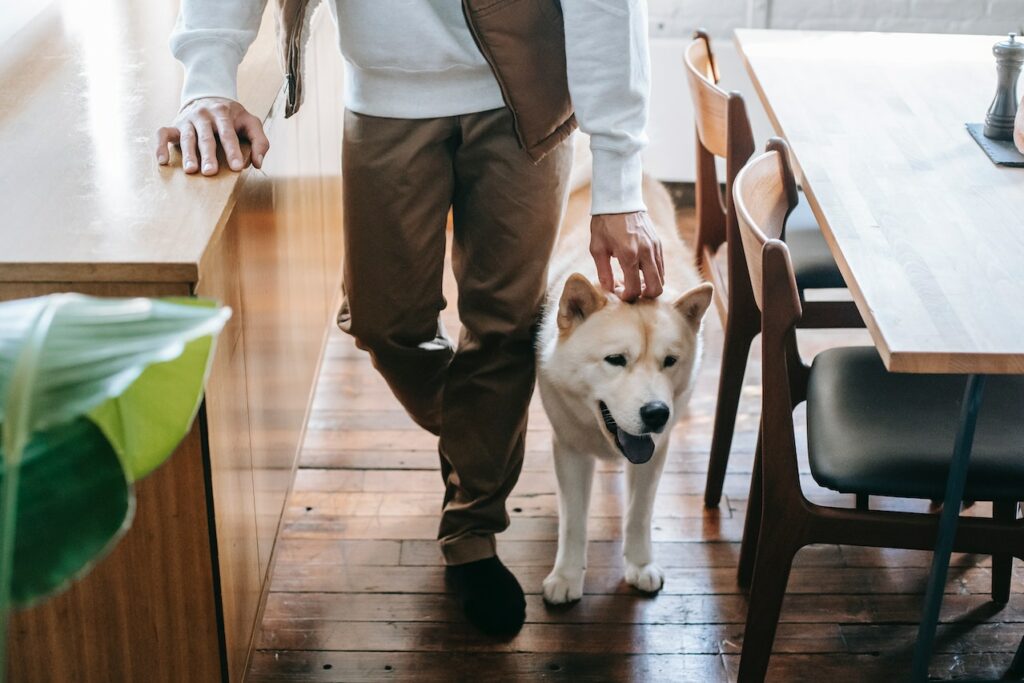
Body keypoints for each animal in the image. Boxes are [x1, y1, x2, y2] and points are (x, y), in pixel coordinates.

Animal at [536, 136, 712, 606]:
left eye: (670, 362)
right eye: (616, 360)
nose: (656, 413)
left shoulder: (655, 453)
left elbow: (639, 513)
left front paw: (640, 565)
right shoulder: (570, 451)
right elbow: (574, 523)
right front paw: (566, 577)